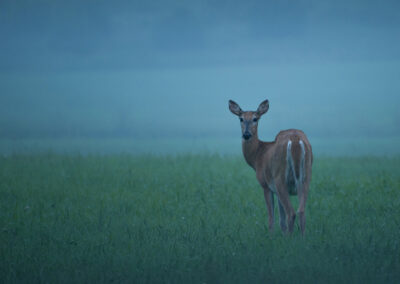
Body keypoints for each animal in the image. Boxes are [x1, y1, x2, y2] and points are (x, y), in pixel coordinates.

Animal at [228, 98, 312, 234]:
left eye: (255, 118)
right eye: (241, 118)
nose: (246, 134)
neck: (258, 155)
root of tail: (295, 140)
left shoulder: (266, 185)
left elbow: (271, 218)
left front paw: (271, 235)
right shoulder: (276, 191)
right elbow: (281, 221)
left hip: (279, 178)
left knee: (291, 213)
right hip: (306, 177)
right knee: (301, 211)